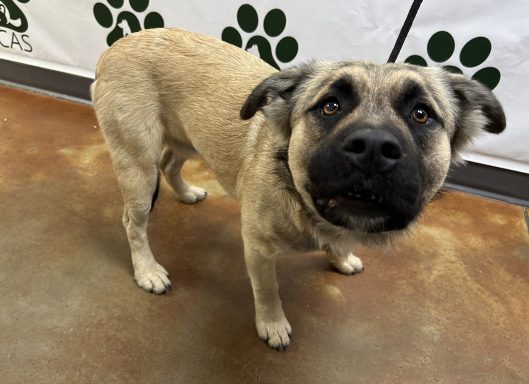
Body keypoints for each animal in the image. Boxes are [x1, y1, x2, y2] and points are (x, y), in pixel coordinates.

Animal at [92, 27, 508, 352]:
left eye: (421, 114)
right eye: (330, 106)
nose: (373, 147)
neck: (306, 203)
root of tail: (116, 46)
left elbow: (338, 245)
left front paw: (341, 258)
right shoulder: (258, 250)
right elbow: (267, 291)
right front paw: (272, 324)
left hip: (184, 142)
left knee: (170, 164)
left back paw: (186, 192)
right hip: (138, 169)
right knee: (133, 222)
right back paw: (147, 271)